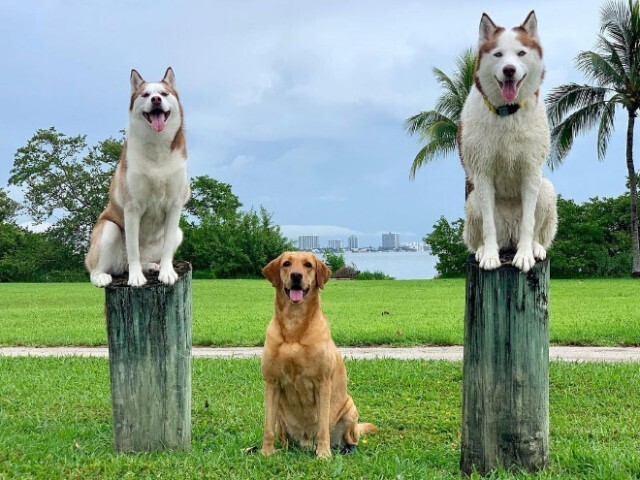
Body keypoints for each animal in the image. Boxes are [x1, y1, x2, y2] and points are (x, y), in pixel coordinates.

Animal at [84, 66, 188, 286]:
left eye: (164, 94)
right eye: (145, 95)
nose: (156, 99)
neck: (157, 147)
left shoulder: (174, 205)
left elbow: (167, 249)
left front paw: (166, 272)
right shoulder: (132, 207)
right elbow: (133, 250)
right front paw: (136, 277)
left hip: (178, 233)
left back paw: (151, 266)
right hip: (109, 230)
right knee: (96, 268)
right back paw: (103, 276)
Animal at [460, 11, 560, 272]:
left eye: (521, 53)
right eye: (498, 54)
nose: (509, 70)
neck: (507, 112)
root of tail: (509, 238)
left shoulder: (531, 170)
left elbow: (529, 222)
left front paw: (524, 255)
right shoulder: (482, 172)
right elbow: (487, 226)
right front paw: (489, 256)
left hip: (546, 190)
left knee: (534, 228)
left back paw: (535, 248)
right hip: (472, 201)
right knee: (481, 232)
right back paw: (484, 249)